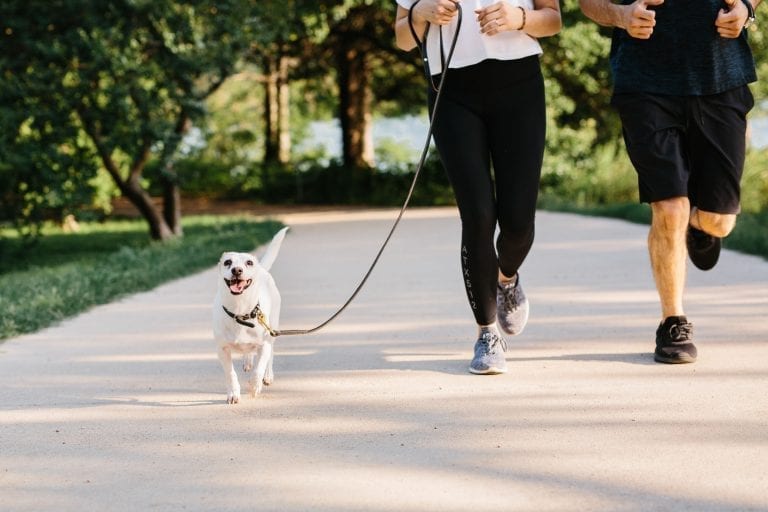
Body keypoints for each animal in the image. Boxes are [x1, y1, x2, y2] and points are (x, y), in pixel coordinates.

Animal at [213, 228, 288, 404]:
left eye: (249, 263)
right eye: (227, 262)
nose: (237, 270)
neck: (240, 311)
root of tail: (263, 269)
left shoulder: (264, 344)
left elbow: (259, 369)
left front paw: (255, 386)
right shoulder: (222, 350)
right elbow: (230, 374)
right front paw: (233, 393)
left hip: (272, 329)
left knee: (270, 355)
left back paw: (268, 376)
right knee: (248, 352)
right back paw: (247, 360)